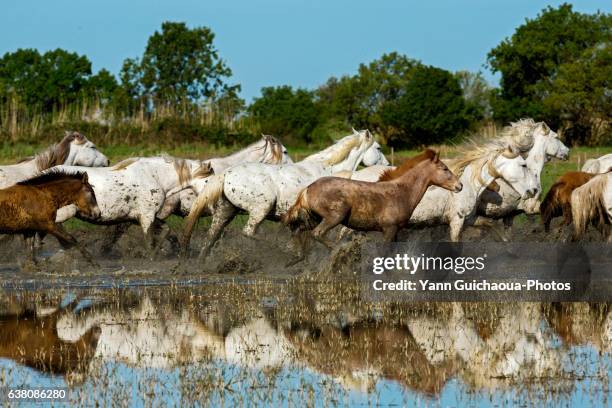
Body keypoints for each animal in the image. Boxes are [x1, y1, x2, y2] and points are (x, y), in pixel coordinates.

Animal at [179, 129, 384, 256]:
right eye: (378, 148)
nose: (388, 165)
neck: (330, 170)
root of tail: (227, 173)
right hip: (260, 209)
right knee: (248, 232)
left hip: (225, 211)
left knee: (211, 237)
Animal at [284, 151, 462, 244]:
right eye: (445, 169)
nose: (459, 186)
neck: (401, 192)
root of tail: (307, 189)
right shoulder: (389, 229)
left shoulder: (395, 231)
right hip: (335, 216)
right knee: (317, 234)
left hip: (313, 219)